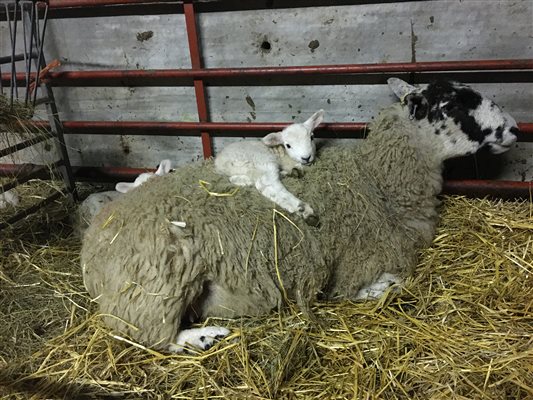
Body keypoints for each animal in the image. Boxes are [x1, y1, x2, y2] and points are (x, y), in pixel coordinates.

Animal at [81, 79, 516, 354]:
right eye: (454, 104)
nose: (513, 128)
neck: (379, 180)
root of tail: (93, 244)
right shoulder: (360, 262)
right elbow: (387, 284)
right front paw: (372, 290)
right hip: (155, 288)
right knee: (149, 337)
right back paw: (204, 338)